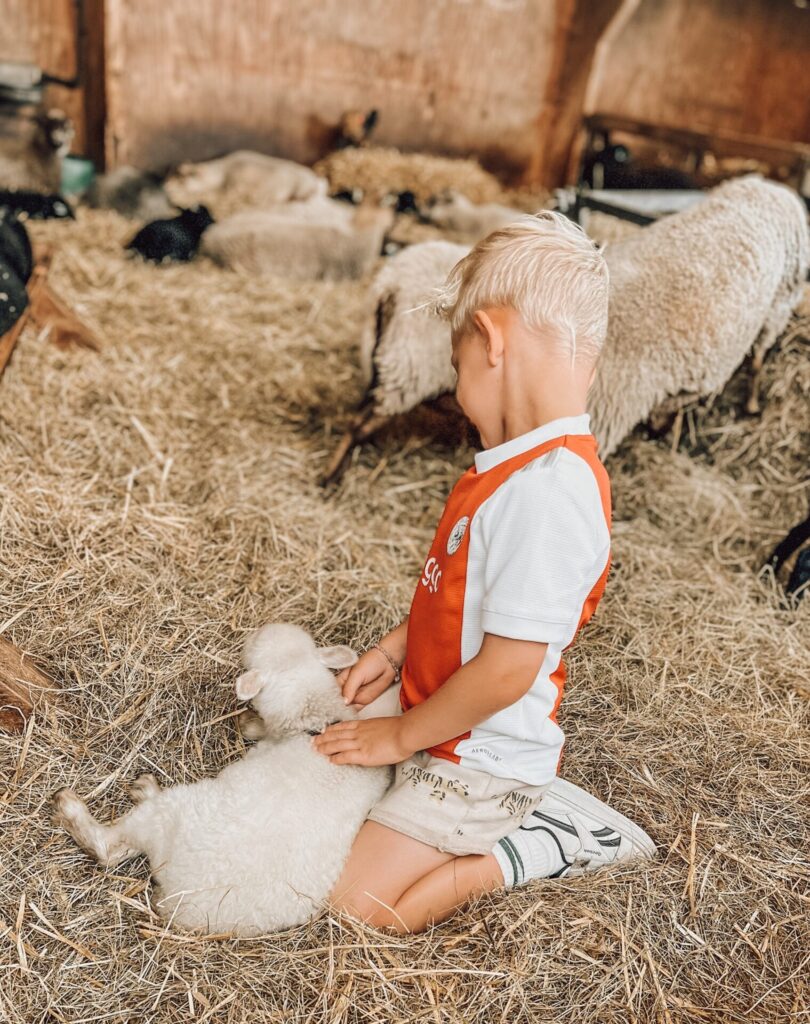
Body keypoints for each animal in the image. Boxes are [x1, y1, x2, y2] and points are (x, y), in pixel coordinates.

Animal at [50, 622, 393, 937]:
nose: (254, 632)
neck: (316, 718)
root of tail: (176, 900)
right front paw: (250, 724)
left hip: (168, 813)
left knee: (109, 849)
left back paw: (88, 802)